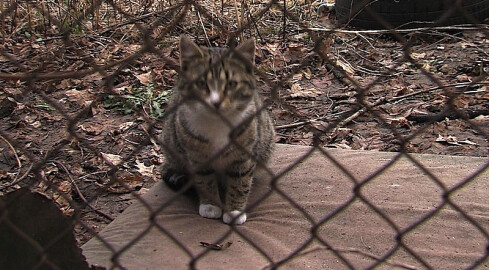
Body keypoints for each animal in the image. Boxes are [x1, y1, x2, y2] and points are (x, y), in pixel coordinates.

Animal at [160, 36, 274, 226]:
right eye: (200, 83)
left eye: (232, 84)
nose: (215, 102)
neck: (218, 123)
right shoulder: (197, 157)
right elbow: (205, 181)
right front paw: (211, 206)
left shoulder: (243, 157)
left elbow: (240, 183)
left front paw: (234, 210)